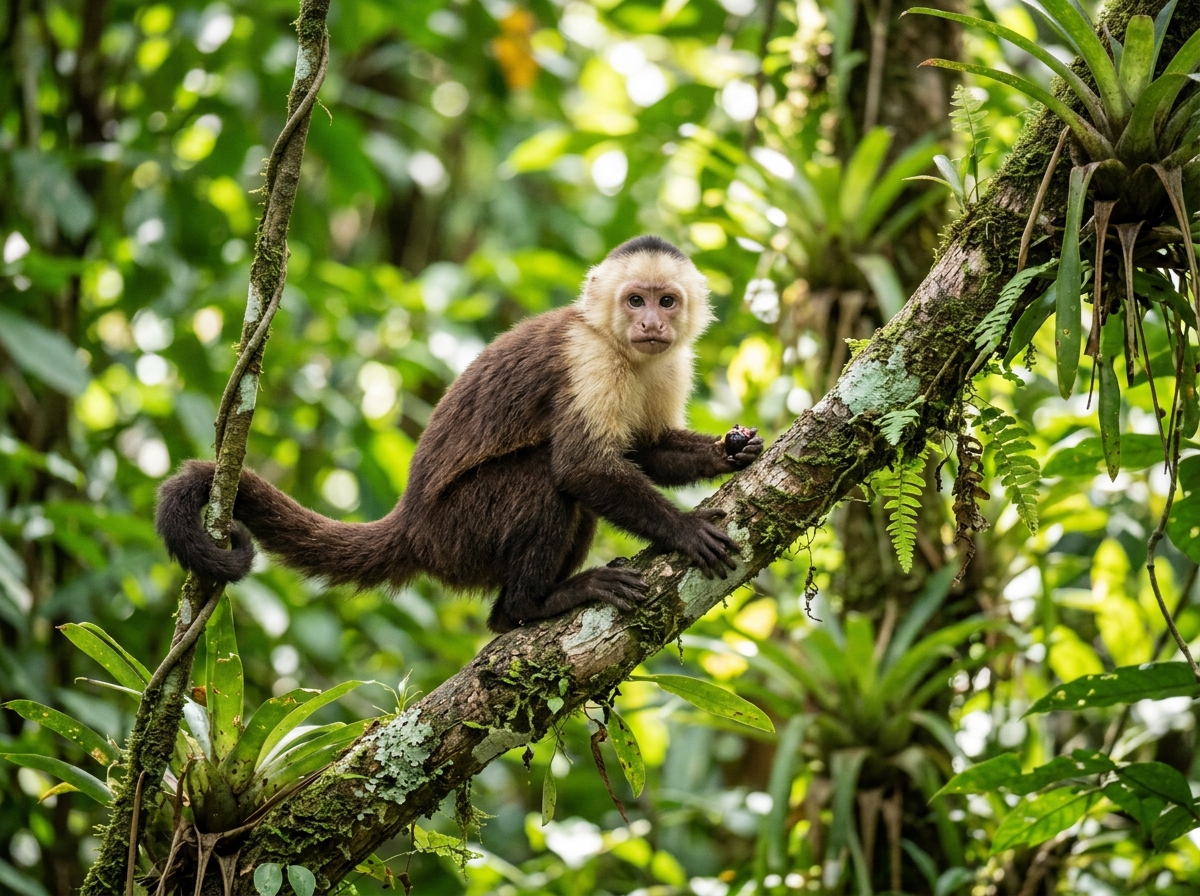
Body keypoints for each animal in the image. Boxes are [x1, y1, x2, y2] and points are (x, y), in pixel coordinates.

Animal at [156, 235, 765, 633]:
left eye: (667, 301)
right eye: (635, 299)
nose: (651, 324)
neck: (620, 348)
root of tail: (411, 523)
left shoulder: (669, 364)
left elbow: (645, 449)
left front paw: (730, 450)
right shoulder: (587, 359)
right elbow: (582, 466)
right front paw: (684, 530)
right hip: (461, 532)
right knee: (545, 481)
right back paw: (526, 607)